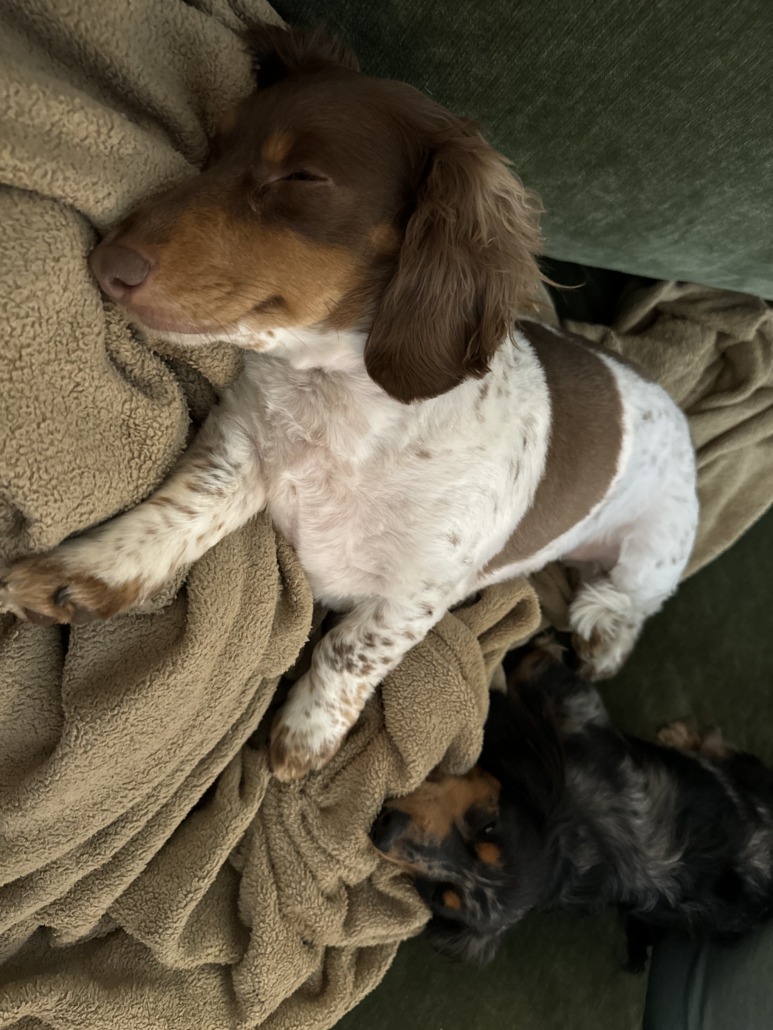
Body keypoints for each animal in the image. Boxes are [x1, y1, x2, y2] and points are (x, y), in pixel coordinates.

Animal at [0, 24, 698, 781]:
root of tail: (661, 394)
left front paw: (306, 734)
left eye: (302, 178)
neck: (343, 401)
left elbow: (347, 650)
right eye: (214, 150)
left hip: (654, 547)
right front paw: (83, 573)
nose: (105, 264)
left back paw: (602, 632)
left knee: (628, 600)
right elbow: (174, 515)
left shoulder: (415, 593)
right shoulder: (237, 451)